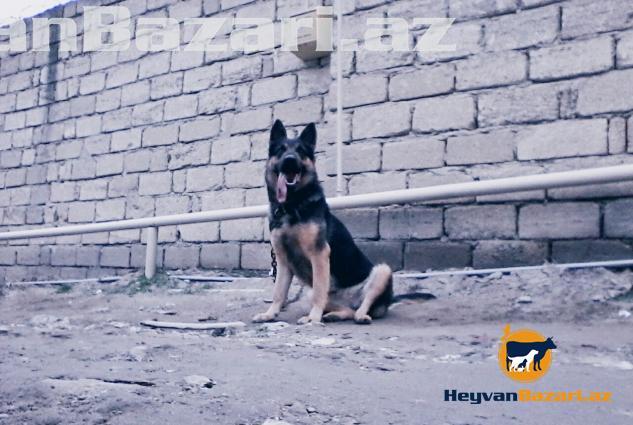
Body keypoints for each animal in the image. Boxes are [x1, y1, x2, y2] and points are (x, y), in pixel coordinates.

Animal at [252, 120, 393, 325]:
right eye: (281, 149)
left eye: (301, 151)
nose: (290, 160)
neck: (292, 205)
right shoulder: (283, 260)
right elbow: (278, 292)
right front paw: (270, 313)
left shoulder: (319, 254)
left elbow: (319, 290)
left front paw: (313, 318)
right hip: (309, 293)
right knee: (345, 309)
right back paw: (334, 315)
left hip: (383, 270)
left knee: (361, 306)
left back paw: (360, 316)